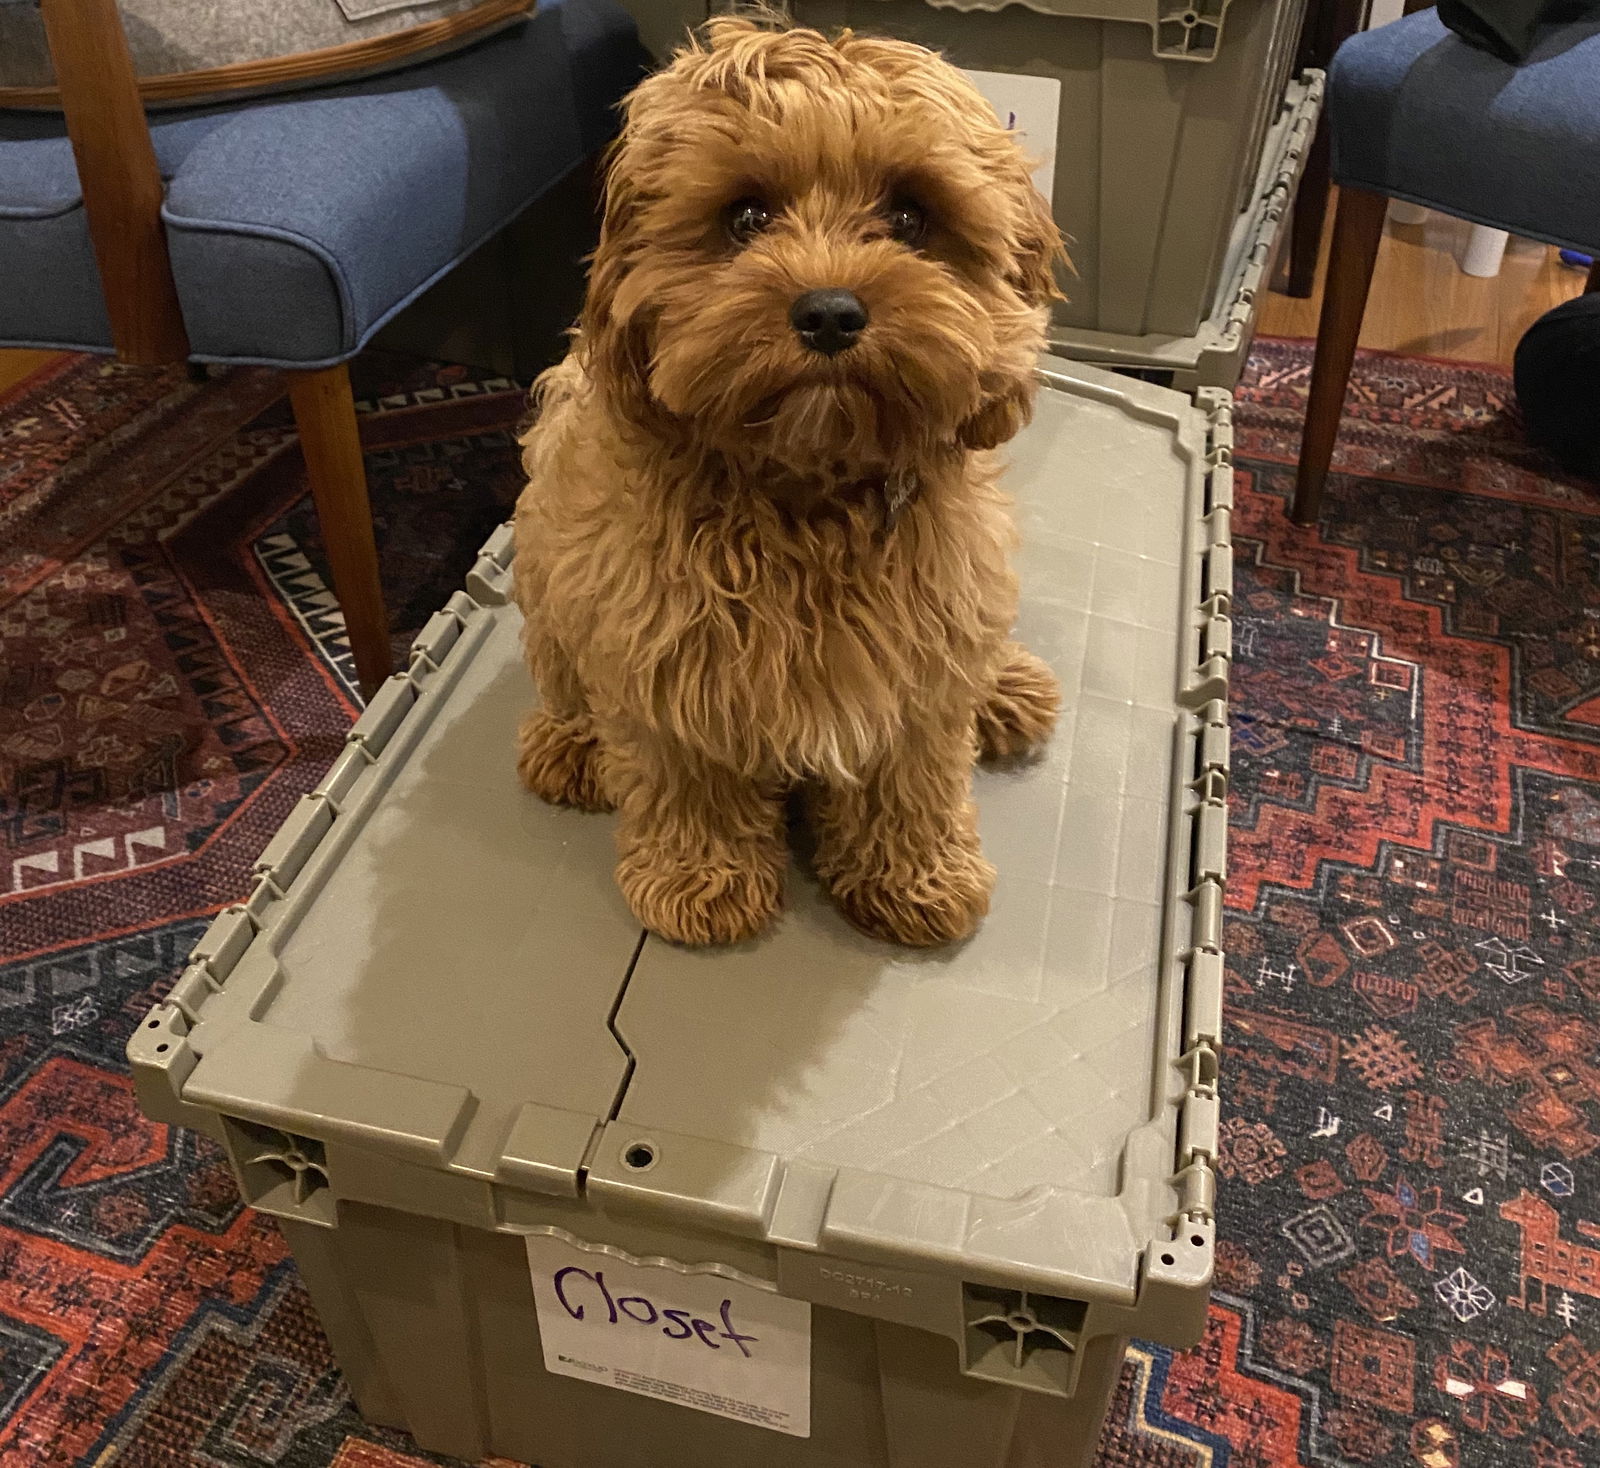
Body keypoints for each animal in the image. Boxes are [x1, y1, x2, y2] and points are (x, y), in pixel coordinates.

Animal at [512, 11, 1062, 946]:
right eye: (745, 216)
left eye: (910, 214)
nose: (831, 312)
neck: (806, 499)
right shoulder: (660, 657)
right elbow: (686, 776)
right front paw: (700, 876)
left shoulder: (918, 662)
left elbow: (910, 777)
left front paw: (914, 873)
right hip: (547, 547)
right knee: (562, 670)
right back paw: (572, 742)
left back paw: (1003, 688)